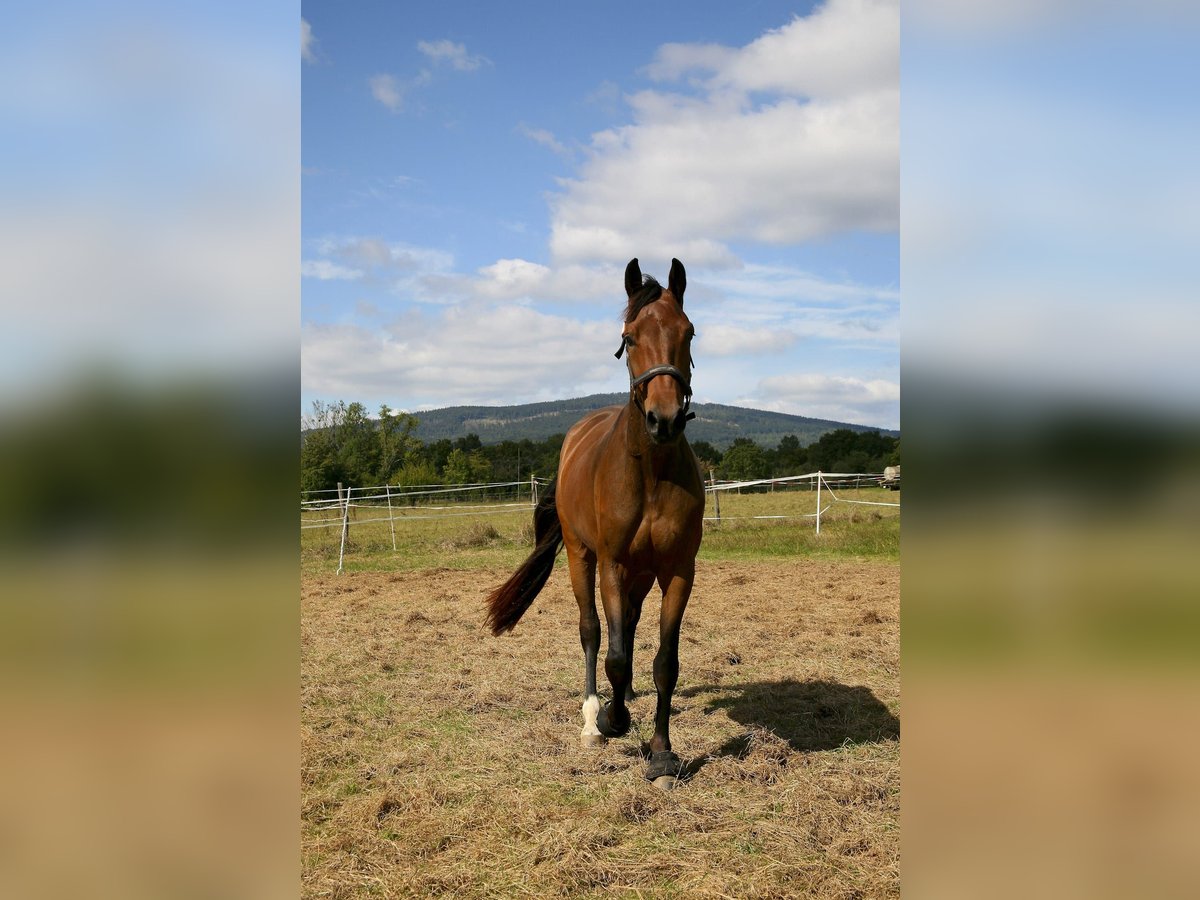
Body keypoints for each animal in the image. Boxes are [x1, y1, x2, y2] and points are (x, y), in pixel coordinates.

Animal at [484, 259, 700, 787]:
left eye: (688, 332)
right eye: (630, 336)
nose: (664, 419)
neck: (651, 473)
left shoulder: (678, 571)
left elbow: (665, 662)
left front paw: (661, 754)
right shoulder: (611, 565)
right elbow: (614, 655)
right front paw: (611, 719)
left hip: (641, 575)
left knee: (631, 627)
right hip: (583, 559)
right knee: (592, 630)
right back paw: (591, 718)